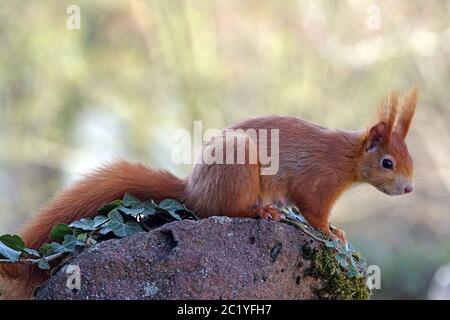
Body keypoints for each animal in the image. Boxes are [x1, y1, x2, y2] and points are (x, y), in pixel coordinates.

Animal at [0, 87, 418, 298]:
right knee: (226, 210)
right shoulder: (316, 183)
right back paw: (261, 213)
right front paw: (333, 232)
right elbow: (314, 212)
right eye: (387, 163)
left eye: (409, 158)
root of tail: (192, 190)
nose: (410, 188)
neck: (347, 159)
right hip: (238, 169)